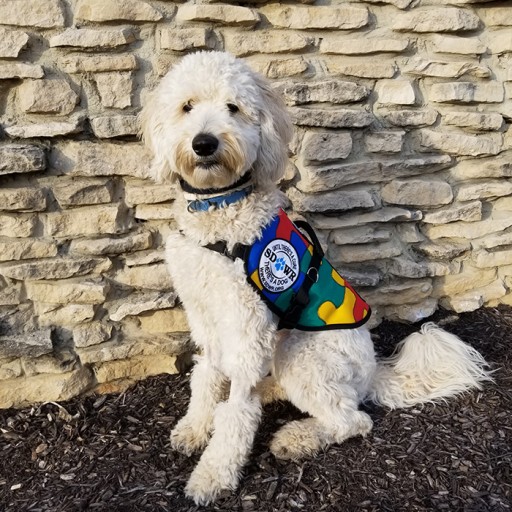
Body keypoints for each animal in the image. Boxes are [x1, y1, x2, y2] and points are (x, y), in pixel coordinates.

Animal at [141, 50, 492, 506]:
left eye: (233, 108)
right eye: (187, 106)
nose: (204, 143)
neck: (220, 212)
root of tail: (373, 371)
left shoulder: (246, 324)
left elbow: (236, 409)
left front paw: (213, 474)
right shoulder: (204, 312)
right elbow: (207, 374)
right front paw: (196, 426)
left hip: (302, 353)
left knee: (352, 420)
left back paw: (297, 437)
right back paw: (268, 391)